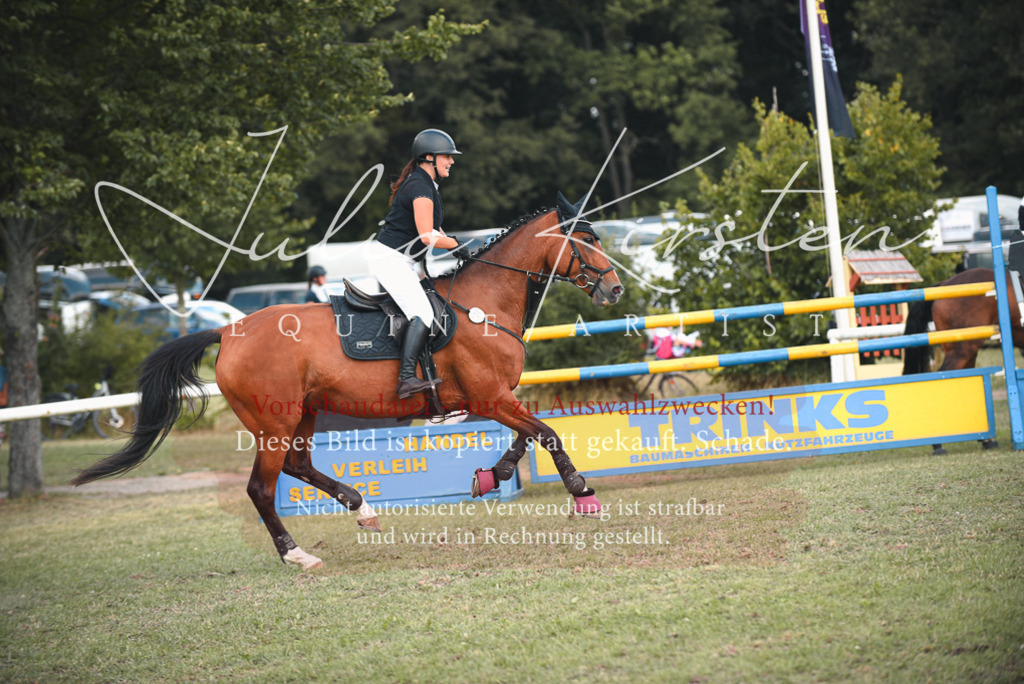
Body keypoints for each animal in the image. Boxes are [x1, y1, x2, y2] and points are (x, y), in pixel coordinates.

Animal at [71, 198, 625, 569]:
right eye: (588, 240)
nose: (615, 289)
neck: (482, 304)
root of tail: (228, 331)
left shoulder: (495, 399)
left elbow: (525, 437)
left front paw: (490, 477)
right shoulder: (490, 397)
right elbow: (546, 433)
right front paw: (583, 495)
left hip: (304, 413)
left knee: (297, 466)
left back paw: (363, 510)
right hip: (273, 422)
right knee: (261, 488)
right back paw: (297, 555)